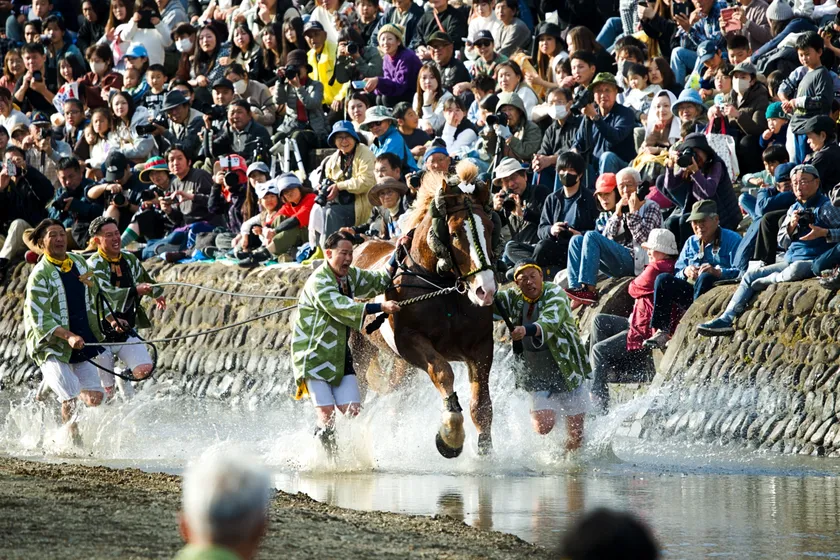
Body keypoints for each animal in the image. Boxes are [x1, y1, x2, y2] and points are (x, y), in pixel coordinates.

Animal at [352, 161, 499, 458]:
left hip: (401, 366)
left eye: (490, 228)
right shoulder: (411, 341)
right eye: (454, 233)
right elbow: (443, 372)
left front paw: (485, 453)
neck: (443, 288)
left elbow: (481, 406)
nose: (485, 290)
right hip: (359, 351)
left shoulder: (480, 345)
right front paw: (451, 433)